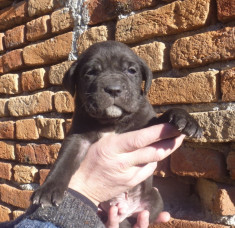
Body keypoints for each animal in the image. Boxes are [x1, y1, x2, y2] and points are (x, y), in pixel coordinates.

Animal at [32, 40, 203, 226]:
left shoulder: (147, 127)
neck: (112, 121)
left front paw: (185, 119)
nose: (113, 89)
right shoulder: (77, 138)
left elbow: (164, 117)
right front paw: (48, 189)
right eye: (90, 72)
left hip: (155, 199)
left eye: (131, 70)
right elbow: (63, 161)